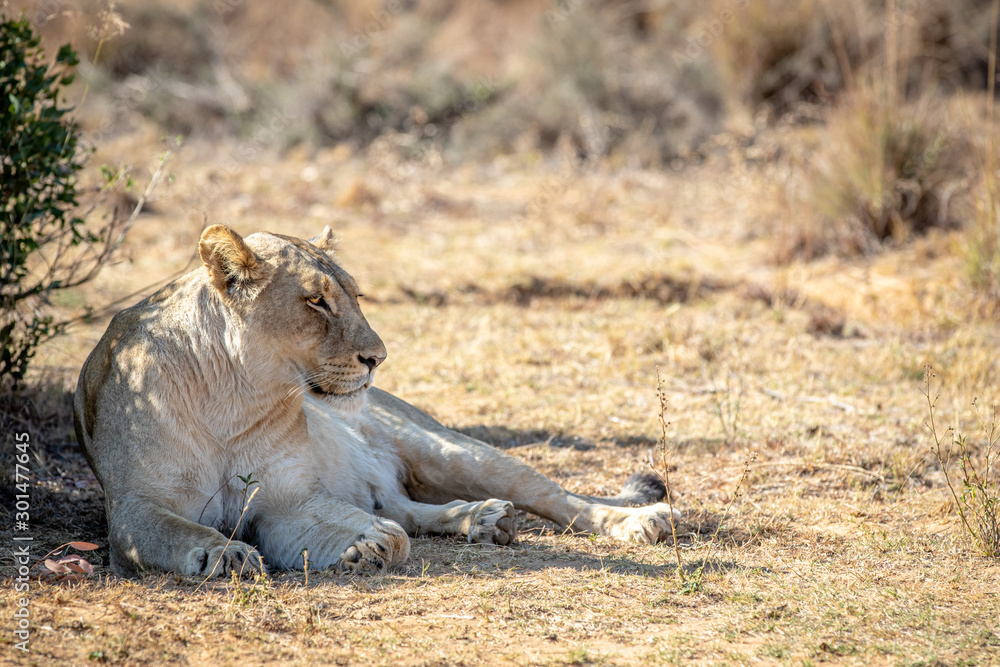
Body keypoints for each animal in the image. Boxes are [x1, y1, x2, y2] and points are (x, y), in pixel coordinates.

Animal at [73, 225, 681, 577]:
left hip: (451, 449)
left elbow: (346, 523)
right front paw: (226, 553)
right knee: (404, 508)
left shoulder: (287, 499)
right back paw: (484, 520)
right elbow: (177, 530)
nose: (378, 357)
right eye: (316, 301)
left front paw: (366, 542)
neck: (235, 396)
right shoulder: (131, 509)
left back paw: (638, 522)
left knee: (558, 497)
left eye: (354, 295)